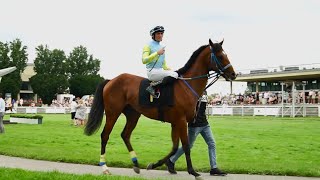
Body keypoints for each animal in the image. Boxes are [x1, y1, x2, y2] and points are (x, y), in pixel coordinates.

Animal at [84, 38, 236, 179]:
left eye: (226, 54)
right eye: (220, 56)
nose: (233, 74)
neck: (187, 86)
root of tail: (111, 80)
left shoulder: (175, 122)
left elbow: (175, 147)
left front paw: (155, 164)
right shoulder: (181, 121)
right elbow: (185, 146)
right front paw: (192, 171)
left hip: (133, 114)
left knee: (125, 135)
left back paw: (136, 163)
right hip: (112, 112)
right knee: (105, 135)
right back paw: (104, 167)